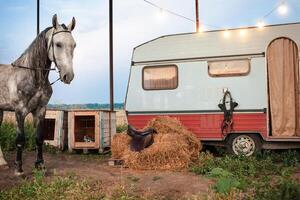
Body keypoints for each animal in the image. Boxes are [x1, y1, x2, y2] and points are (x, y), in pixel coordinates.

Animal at [0, 14, 76, 175]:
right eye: (58, 44)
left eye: (74, 45)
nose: (68, 76)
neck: (33, 76)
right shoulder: (20, 111)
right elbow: (20, 140)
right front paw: (19, 168)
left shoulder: (41, 110)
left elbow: (39, 138)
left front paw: (40, 165)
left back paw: (2, 162)